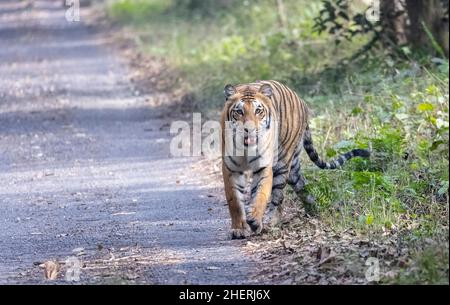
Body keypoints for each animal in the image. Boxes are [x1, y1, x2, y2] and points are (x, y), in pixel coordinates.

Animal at [220, 80, 370, 238]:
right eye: (239, 112)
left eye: (258, 111)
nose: (250, 130)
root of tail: (301, 100)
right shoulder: (231, 168)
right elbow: (234, 201)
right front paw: (239, 229)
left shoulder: (264, 166)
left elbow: (261, 193)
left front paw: (254, 219)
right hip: (293, 170)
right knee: (302, 185)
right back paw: (313, 210)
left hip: (282, 162)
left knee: (278, 197)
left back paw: (271, 221)